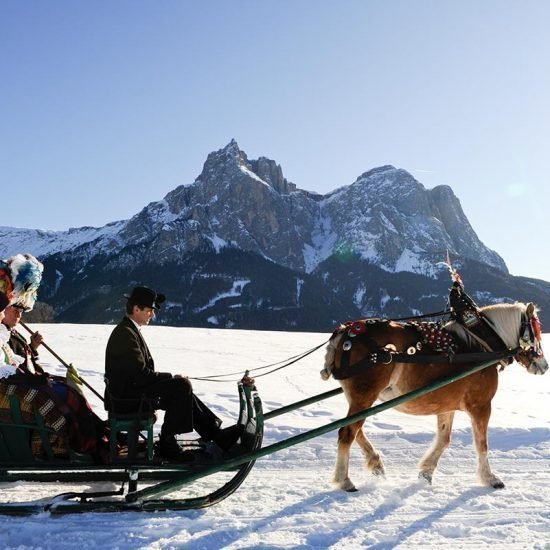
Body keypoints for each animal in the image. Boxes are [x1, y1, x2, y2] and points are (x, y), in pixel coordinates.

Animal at [324, 302, 548, 492]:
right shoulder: (481, 405)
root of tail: (345, 332)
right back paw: (344, 479)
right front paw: (490, 478)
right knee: (347, 432)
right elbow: (481, 443)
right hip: (365, 395)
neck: (481, 345)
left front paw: (426, 472)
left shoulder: (445, 405)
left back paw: (375, 463)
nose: (544, 366)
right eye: (535, 333)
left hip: (359, 398)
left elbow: (444, 439)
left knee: (355, 430)